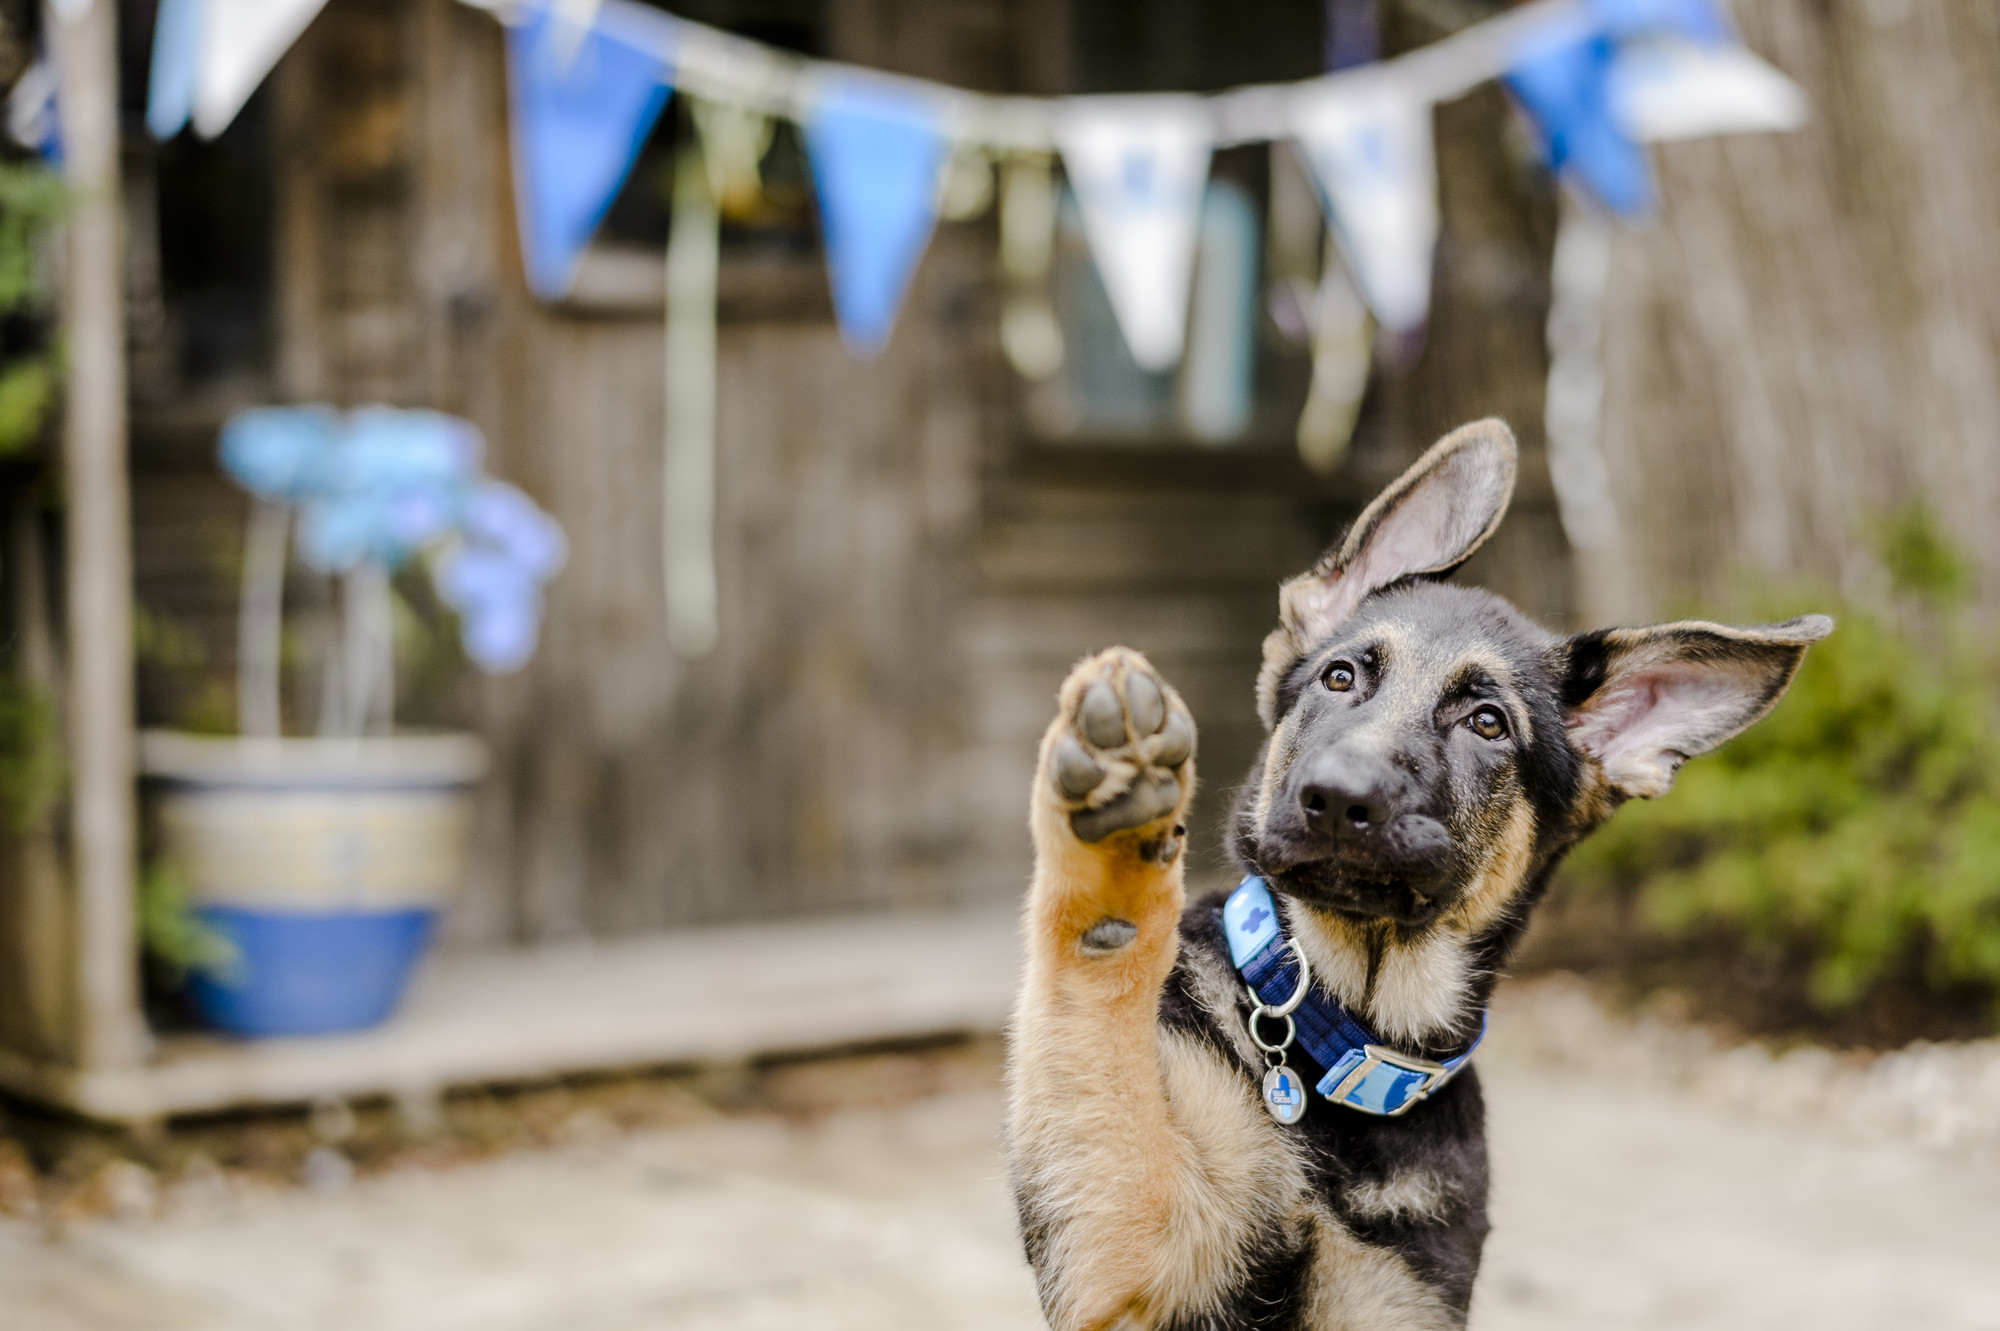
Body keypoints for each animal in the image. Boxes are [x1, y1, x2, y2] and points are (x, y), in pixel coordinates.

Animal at [1008, 421, 1832, 1327]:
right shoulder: (1125, 1256)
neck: (1335, 1046)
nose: (1337, 798)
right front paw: (1116, 827)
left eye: (1488, 723)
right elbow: (1101, 992)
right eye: (1341, 677)